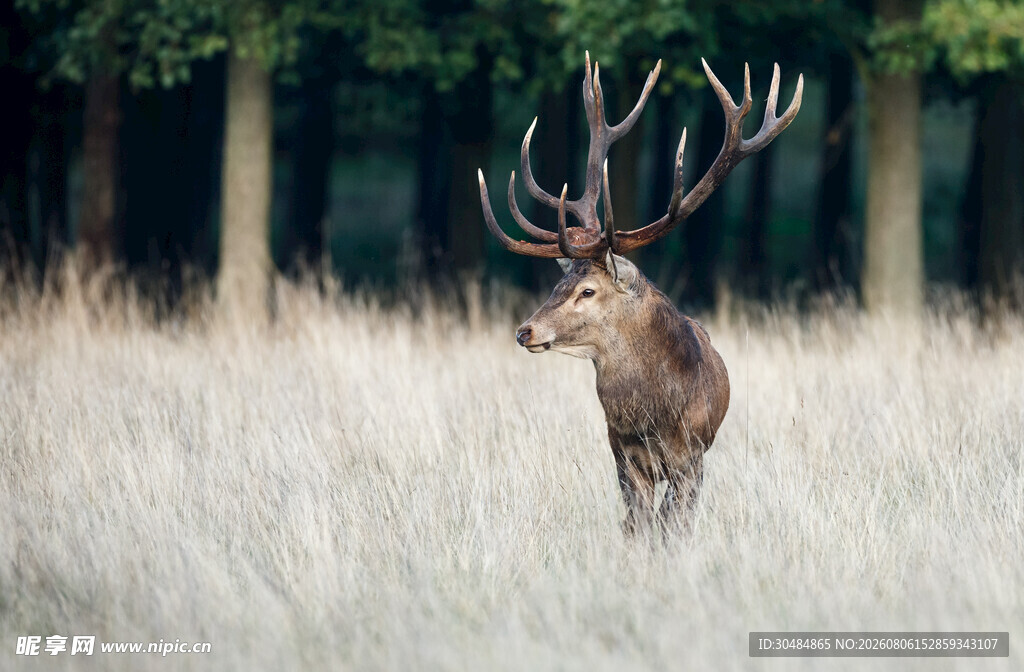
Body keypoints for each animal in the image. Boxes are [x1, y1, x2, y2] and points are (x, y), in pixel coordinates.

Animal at [478, 53, 802, 535]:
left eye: (588, 291)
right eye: (558, 286)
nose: (525, 331)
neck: (653, 417)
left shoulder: (691, 458)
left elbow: (673, 528)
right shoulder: (622, 455)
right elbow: (637, 528)